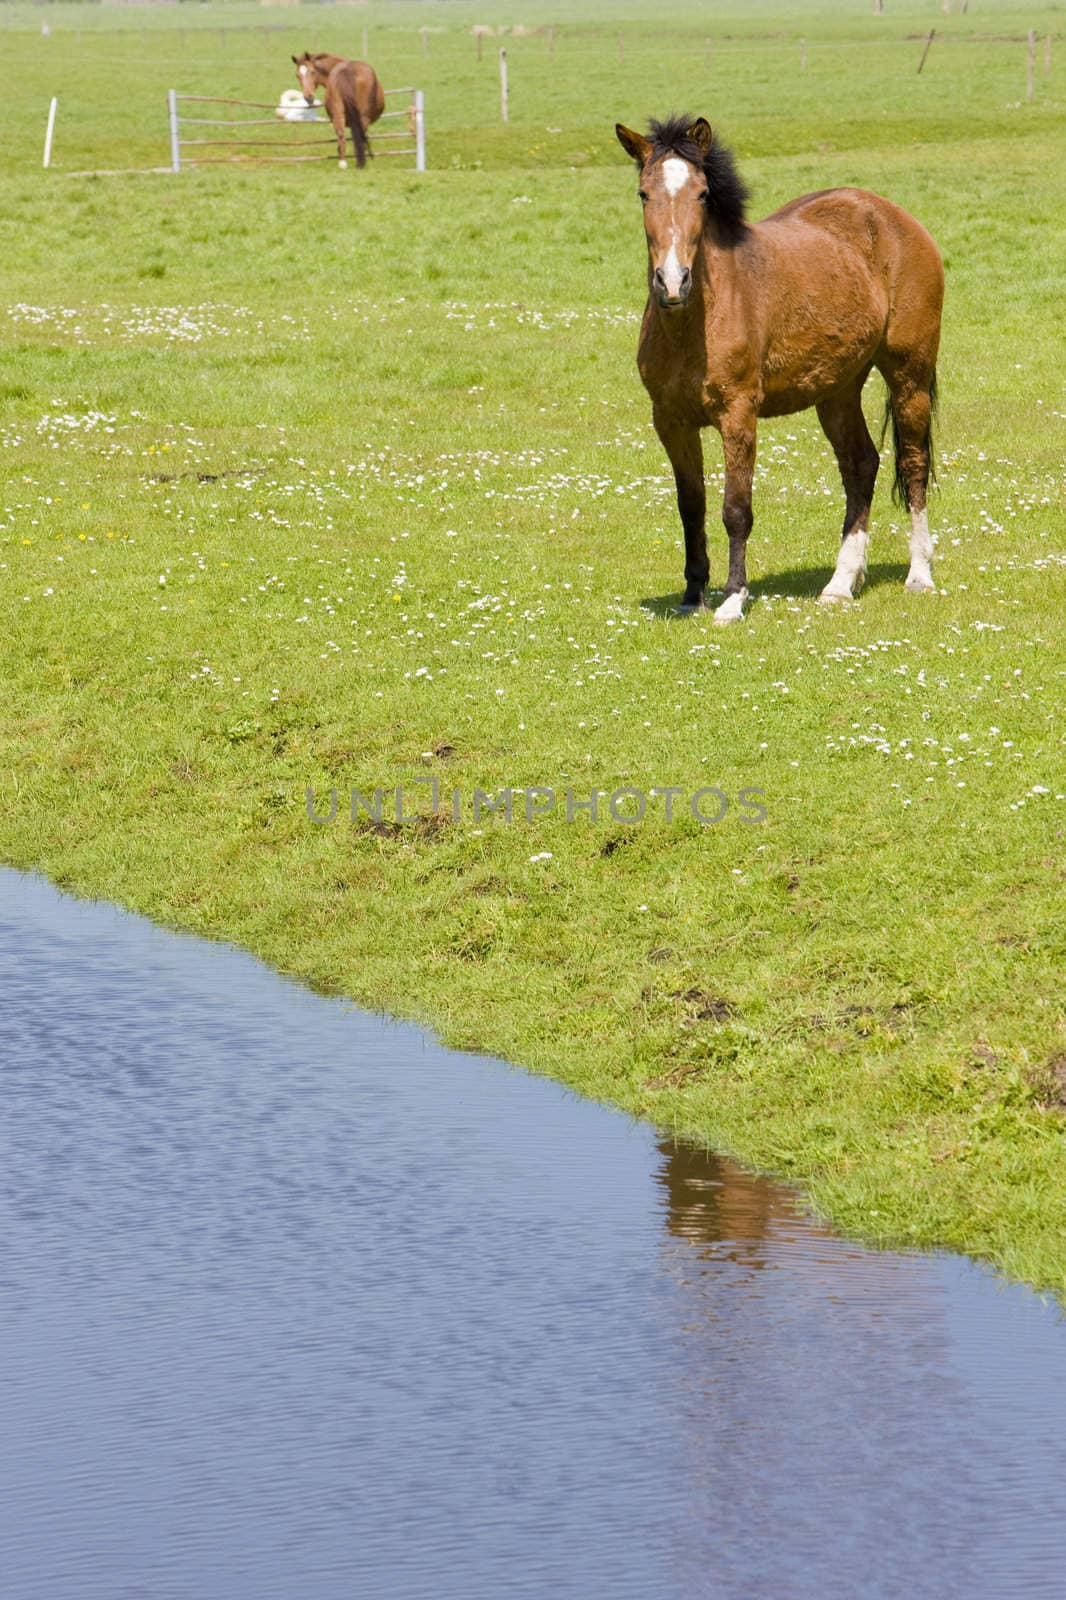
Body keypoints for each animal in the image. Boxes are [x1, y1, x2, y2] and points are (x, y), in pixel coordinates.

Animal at [611, 112, 941, 620]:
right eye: (644, 193)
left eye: (702, 193)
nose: (672, 282)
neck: (698, 319)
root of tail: (893, 217)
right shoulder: (670, 421)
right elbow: (691, 505)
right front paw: (692, 595)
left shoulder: (738, 415)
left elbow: (735, 509)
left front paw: (732, 599)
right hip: (838, 389)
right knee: (860, 464)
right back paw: (840, 583)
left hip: (910, 374)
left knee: (912, 463)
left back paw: (919, 575)